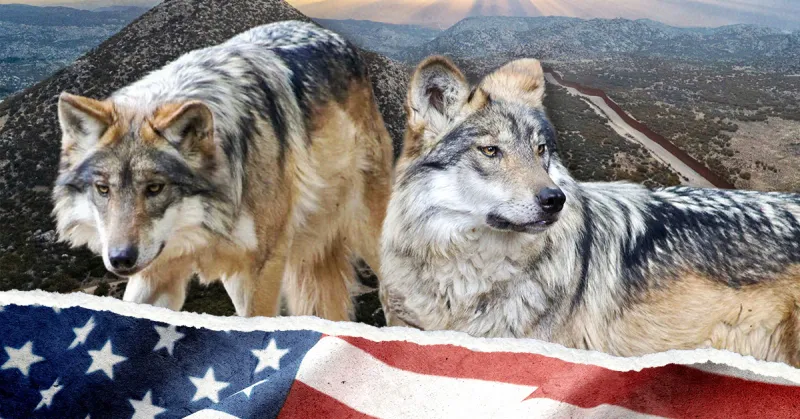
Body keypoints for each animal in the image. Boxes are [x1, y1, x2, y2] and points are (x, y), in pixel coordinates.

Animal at [52, 21, 395, 320]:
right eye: (103, 189)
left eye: (155, 188)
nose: (120, 259)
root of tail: (335, 37)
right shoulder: (157, 271)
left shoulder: (260, 269)